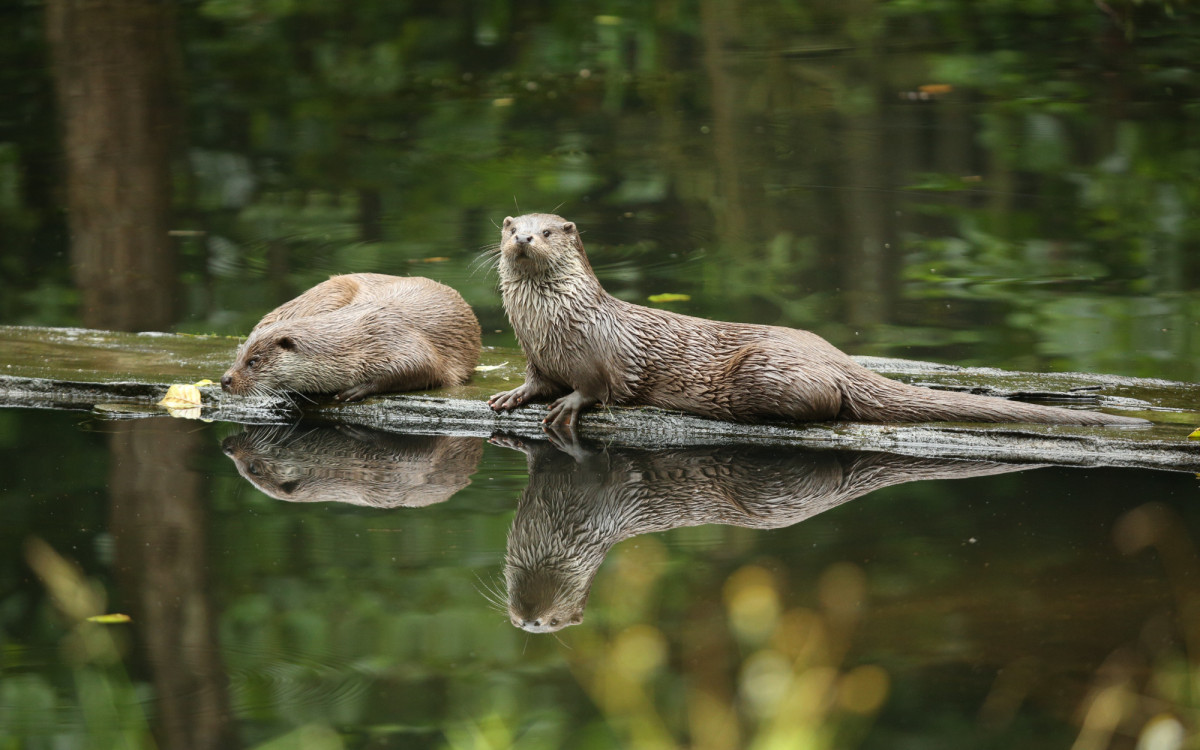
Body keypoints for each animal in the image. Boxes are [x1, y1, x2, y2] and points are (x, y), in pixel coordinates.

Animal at [222, 273, 480, 402]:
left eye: (253, 361)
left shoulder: (396, 338)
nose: (225, 379)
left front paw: (356, 390)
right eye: (238, 357)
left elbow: (425, 368)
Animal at [487, 213, 1145, 428]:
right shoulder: (538, 354)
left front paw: (568, 407)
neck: (550, 322)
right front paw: (512, 396)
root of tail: (838, 357)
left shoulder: (596, 352)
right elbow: (536, 379)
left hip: (766, 373)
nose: (523, 238)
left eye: (549, 231)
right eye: (514, 226)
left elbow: (595, 386)